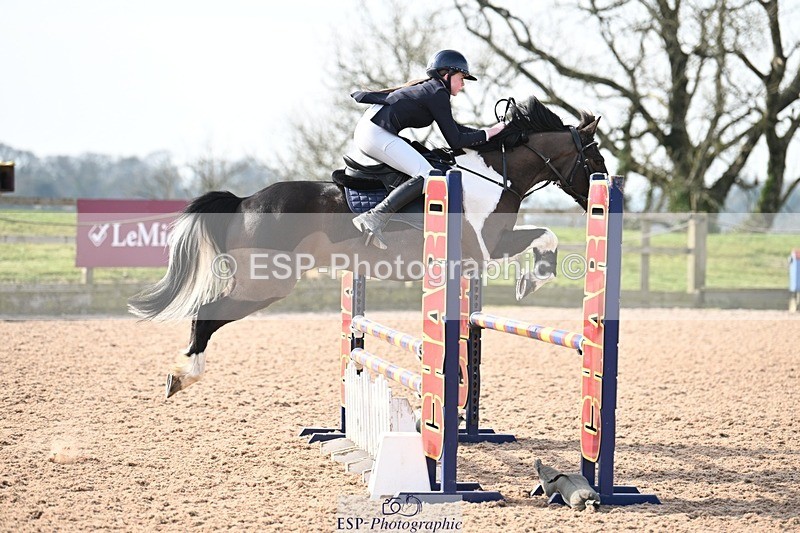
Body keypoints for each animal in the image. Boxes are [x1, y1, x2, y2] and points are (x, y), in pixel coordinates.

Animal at [129, 96, 607, 398]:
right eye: (594, 159)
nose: (603, 196)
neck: (492, 175)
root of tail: (244, 201)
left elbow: (544, 236)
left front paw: (532, 277)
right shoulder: (487, 246)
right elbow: (543, 236)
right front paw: (532, 278)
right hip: (265, 285)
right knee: (205, 315)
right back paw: (183, 375)